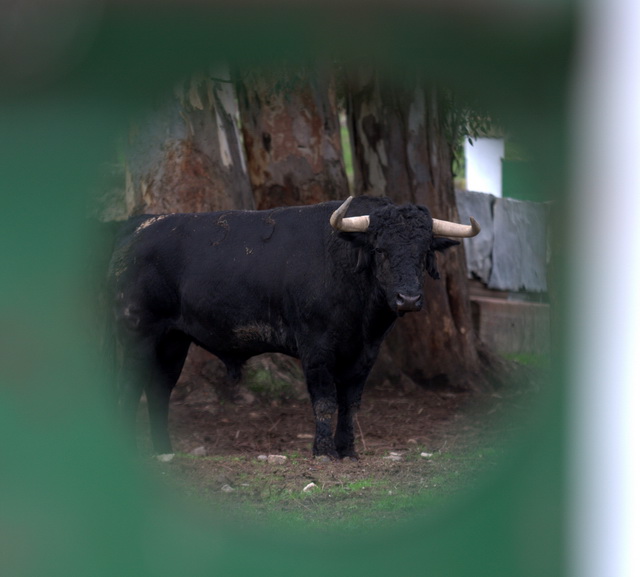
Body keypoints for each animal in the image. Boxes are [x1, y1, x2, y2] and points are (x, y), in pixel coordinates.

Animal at [109, 196, 480, 456]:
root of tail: (142, 225)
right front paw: (324, 452)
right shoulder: (316, 348)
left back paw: (164, 452)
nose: (408, 298)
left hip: (174, 340)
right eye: (380, 249)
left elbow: (350, 402)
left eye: (424, 250)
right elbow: (325, 401)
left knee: (159, 390)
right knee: (128, 389)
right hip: (139, 333)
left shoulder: (365, 355)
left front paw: (348, 451)